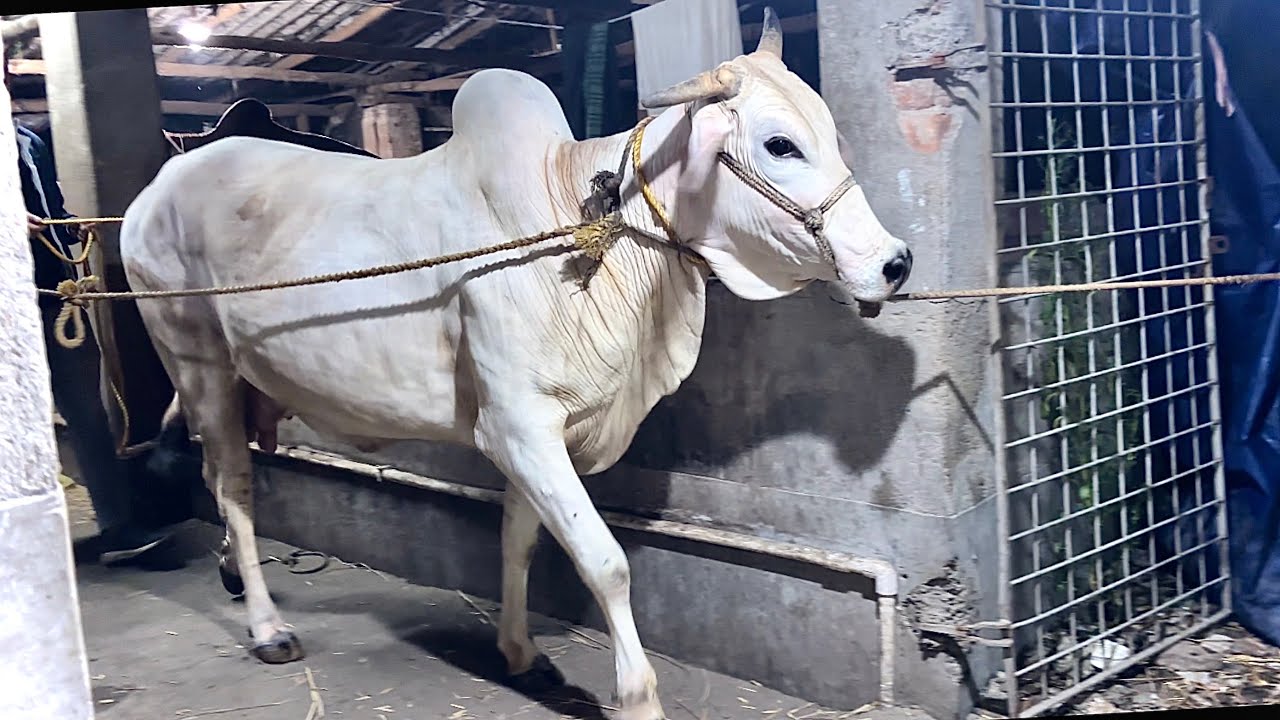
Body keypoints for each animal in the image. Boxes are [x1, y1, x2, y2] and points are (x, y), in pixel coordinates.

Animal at [119, 10, 912, 720]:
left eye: (832, 136)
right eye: (780, 144)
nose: (895, 262)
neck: (591, 228)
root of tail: (156, 188)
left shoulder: (538, 432)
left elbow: (520, 539)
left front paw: (521, 651)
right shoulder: (518, 426)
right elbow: (604, 561)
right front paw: (637, 697)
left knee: (217, 474)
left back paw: (232, 572)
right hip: (197, 362)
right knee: (234, 486)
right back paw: (267, 627)